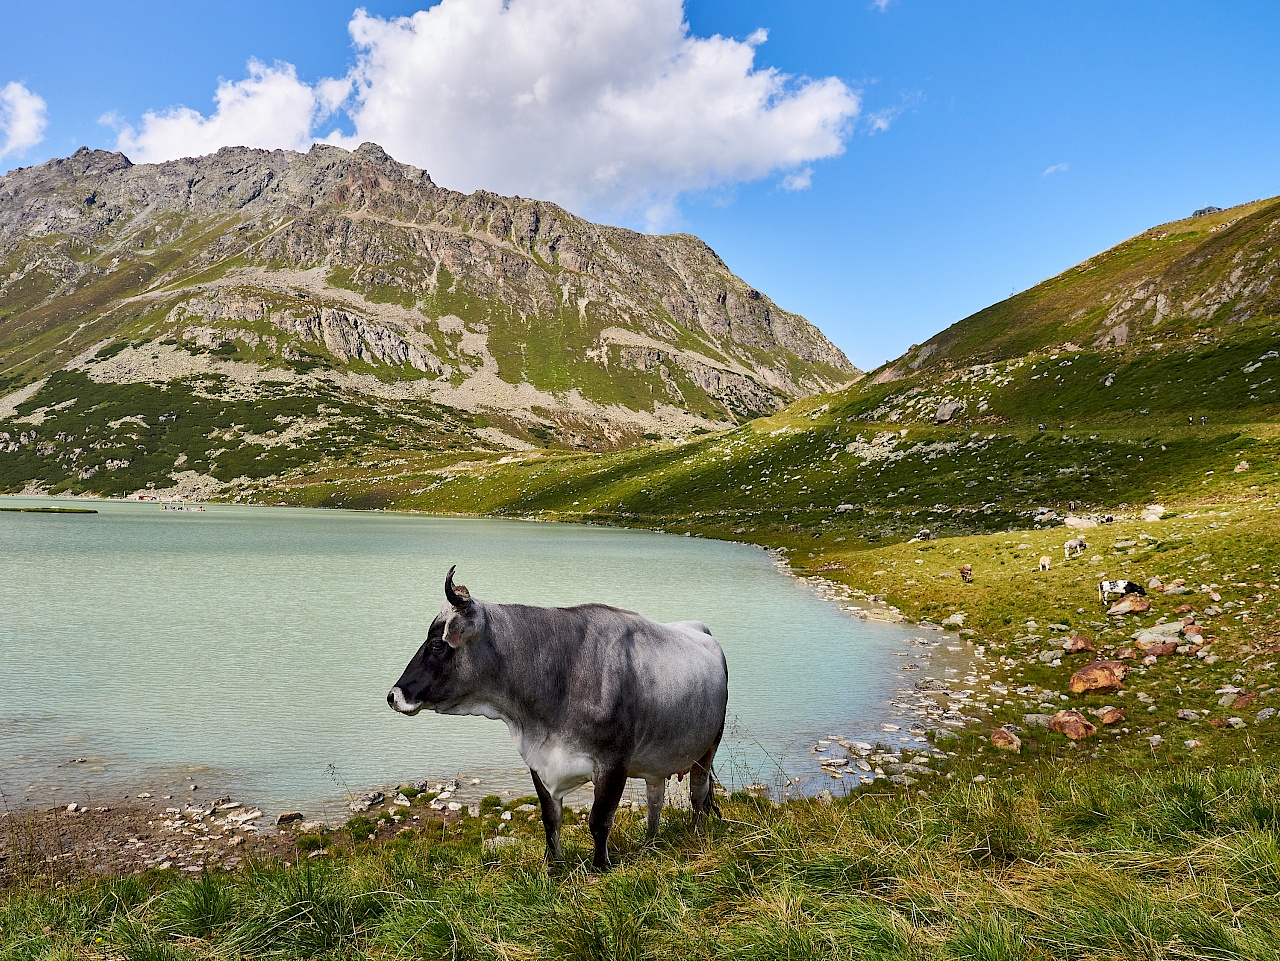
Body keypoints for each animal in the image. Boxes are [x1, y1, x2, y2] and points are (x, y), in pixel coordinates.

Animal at [386, 568, 732, 875]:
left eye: (437, 644)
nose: (393, 695)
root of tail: (701, 630)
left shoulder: (613, 763)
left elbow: (599, 820)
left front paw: (600, 867)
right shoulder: (538, 761)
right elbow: (550, 818)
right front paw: (553, 866)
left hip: (708, 747)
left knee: (698, 794)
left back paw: (696, 835)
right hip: (656, 762)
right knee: (655, 800)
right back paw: (650, 844)